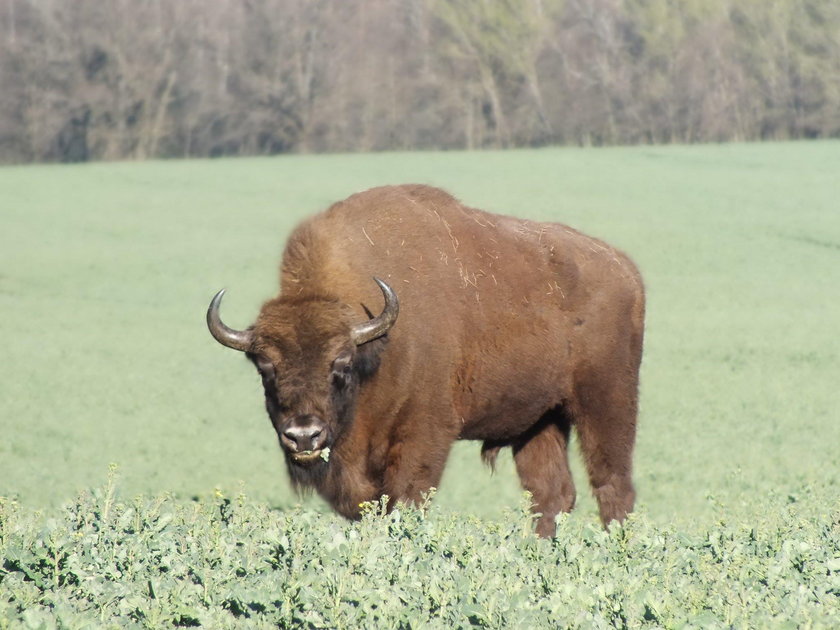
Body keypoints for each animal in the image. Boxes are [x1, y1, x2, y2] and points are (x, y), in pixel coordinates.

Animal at [208, 184, 644, 540]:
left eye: (341, 363)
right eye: (265, 366)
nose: (303, 435)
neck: (376, 350)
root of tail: (625, 269)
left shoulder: (424, 435)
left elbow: (406, 501)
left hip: (606, 404)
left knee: (612, 485)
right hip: (540, 419)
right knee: (551, 494)